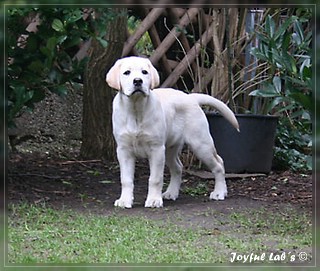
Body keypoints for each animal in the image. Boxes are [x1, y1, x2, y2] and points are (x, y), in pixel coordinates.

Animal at [106, 55, 239, 208]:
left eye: (144, 72)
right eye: (126, 73)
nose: (138, 81)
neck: (135, 108)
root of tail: (190, 97)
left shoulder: (156, 149)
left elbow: (155, 178)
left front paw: (153, 200)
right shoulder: (124, 150)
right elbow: (126, 179)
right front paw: (124, 200)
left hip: (201, 144)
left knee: (218, 164)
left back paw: (219, 192)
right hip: (170, 148)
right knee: (178, 167)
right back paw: (171, 193)